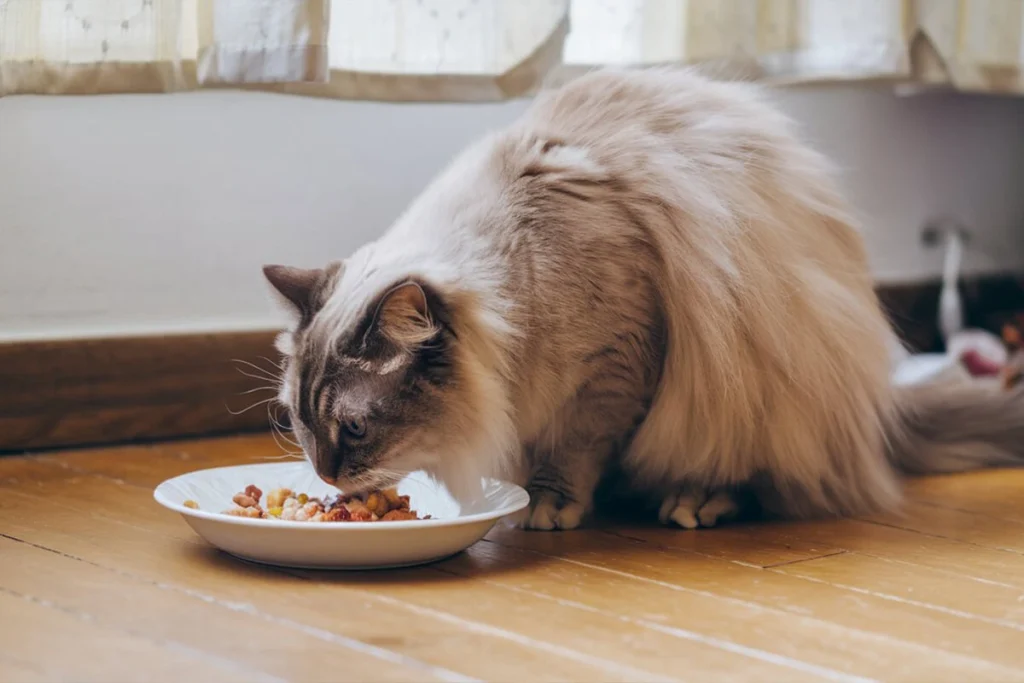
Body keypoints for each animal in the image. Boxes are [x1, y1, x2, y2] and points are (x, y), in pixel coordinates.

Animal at [262, 68, 1024, 528]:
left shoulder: (615, 369)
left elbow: (574, 449)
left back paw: (693, 499)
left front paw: (549, 504)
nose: (324, 473)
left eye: (355, 428)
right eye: (299, 421)